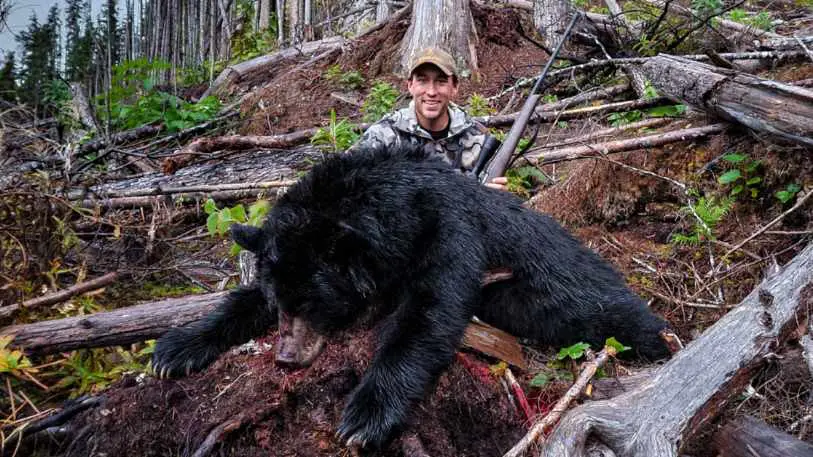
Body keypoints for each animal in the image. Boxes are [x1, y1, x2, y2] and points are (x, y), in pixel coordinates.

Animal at [152, 143, 672, 449]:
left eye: (314, 304)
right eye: (284, 303)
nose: (286, 358)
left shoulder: (446, 229)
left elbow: (427, 315)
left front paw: (366, 415)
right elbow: (241, 301)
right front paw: (174, 349)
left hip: (580, 294)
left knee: (619, 317)